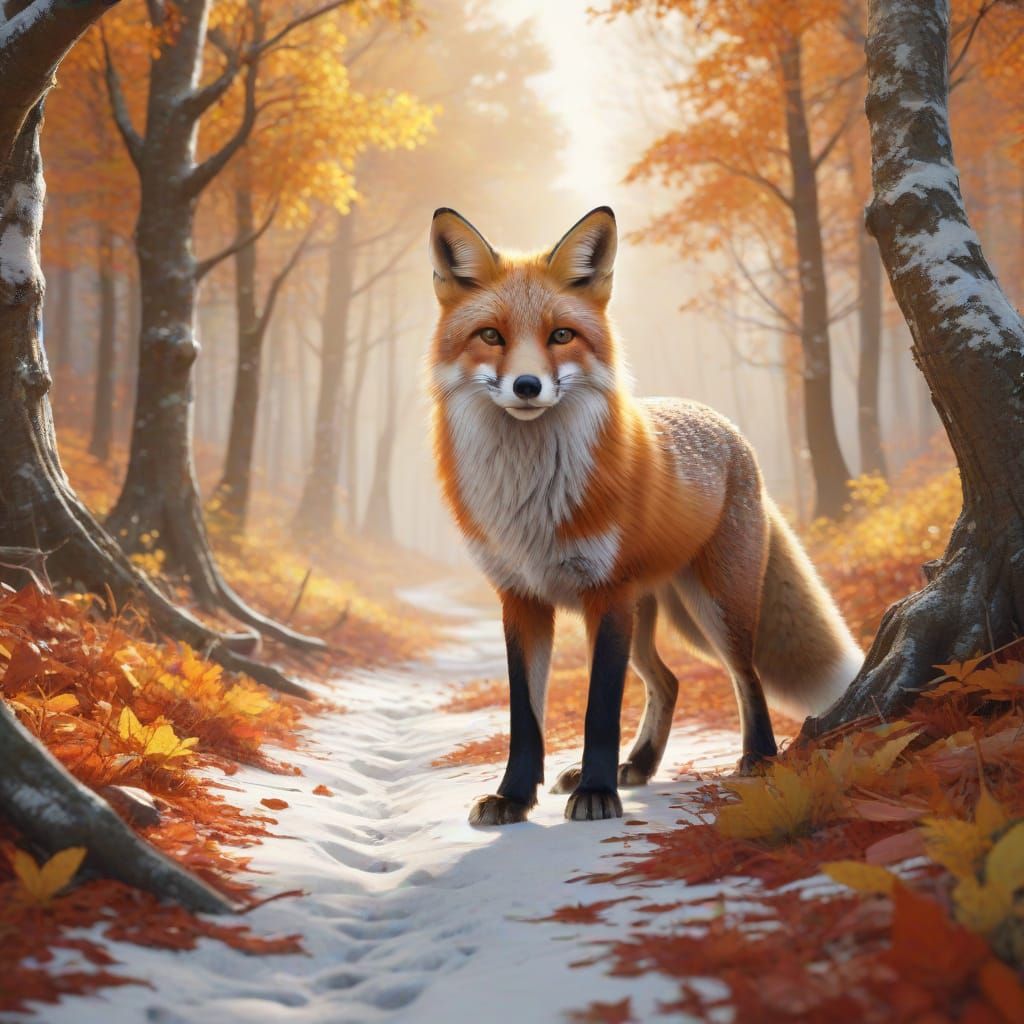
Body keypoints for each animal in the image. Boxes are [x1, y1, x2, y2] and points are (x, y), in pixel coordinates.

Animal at [427, 205, 864, 825]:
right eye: (491, 335)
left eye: (561, 335)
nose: (528, 385)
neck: (530, 499)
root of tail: (727, 427)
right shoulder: (522, 598)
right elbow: (524, 718)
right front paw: (514, 796)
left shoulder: (606, 594)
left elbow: (599, 710)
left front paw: (596, 793)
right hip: (649, 616)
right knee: (671, 682)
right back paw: (639, 765)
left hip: (711, 607)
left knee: (745, 674)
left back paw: (757, 758)